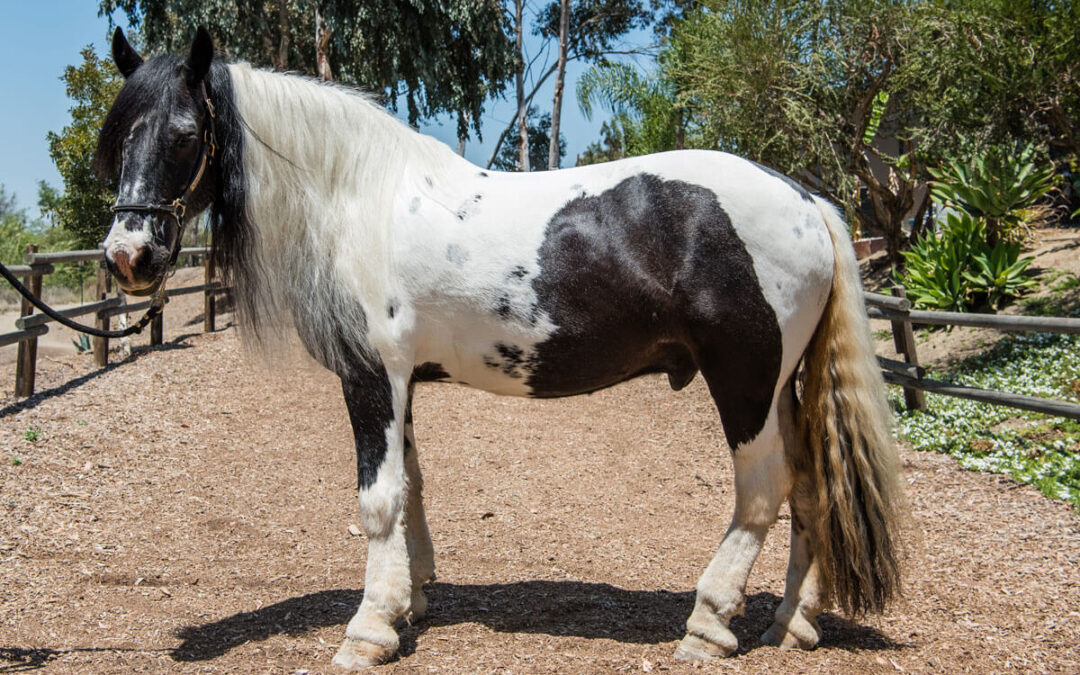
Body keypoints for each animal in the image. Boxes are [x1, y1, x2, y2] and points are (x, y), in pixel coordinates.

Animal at [96, 27, 903, 669]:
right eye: (118, 137)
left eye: (183, 134)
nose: (128, 255)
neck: (357, 200)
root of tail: (807, 201)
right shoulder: (403, 385)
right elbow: (414, 487)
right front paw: (410, 602)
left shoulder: (372, 377)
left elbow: (378, 500)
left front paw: (368, 630)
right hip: (782, 385)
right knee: (811, 486)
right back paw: (790, 622)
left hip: (745, 380)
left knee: (764, 490)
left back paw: (708, 625)